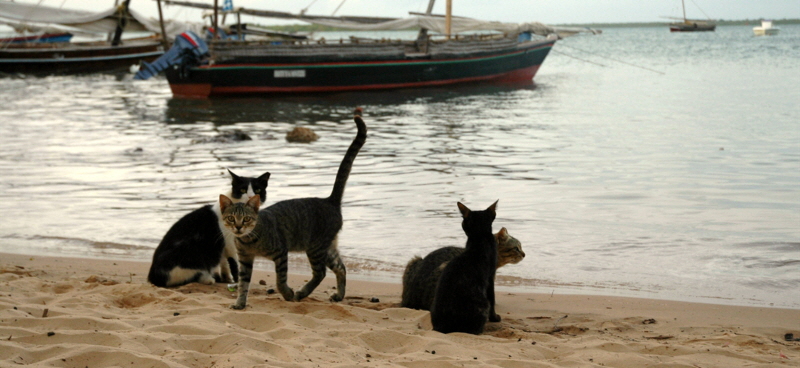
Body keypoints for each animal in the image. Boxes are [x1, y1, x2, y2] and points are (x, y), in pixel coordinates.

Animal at [227, 110, 368, 308]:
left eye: (247, 219)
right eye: (231, 218)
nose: (238, 227)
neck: (249, 239)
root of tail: (329, 200)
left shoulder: (280, 252)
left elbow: (280, 280)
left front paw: (288, 293)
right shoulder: (245, 259)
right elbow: (243, 284)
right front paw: (240, 303)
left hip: (316, 247)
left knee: (321, 272)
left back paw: (302, 293)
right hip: (326, 248)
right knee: (341, 268)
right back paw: (338, 295)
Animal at [432, 200, 500, 334]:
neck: (479, 238)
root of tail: (442, 327)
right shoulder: (490, 277)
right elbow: (492, 298)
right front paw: (495, 318)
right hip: (482, 304)